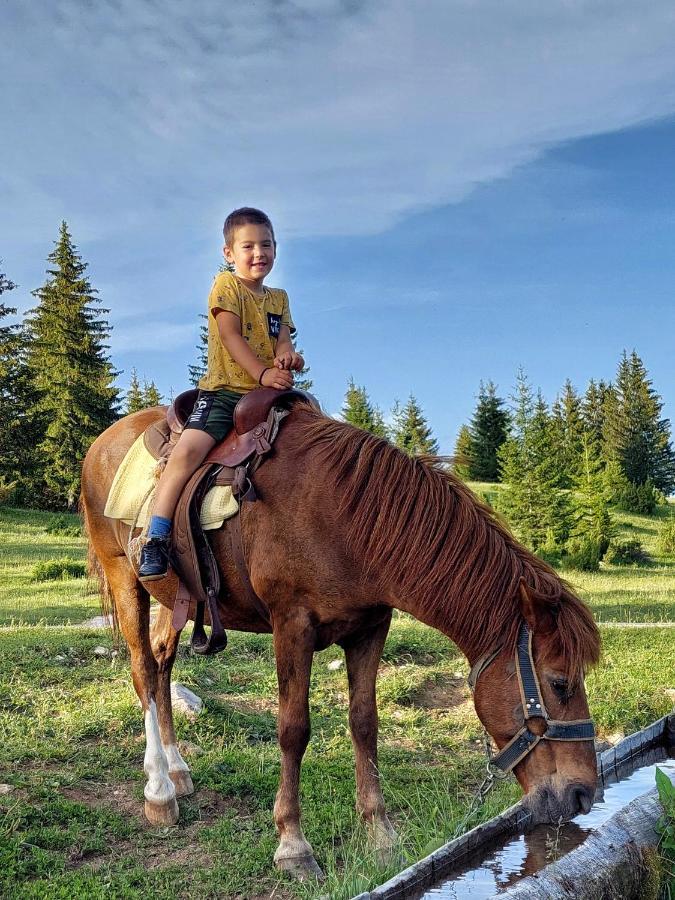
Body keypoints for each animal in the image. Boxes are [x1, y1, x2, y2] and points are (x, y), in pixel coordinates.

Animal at [80, 400, 604, 880]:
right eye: (560, 683)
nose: (584, 795)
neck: (346, 518)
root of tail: (102, 444)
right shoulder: (292, 625)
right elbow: (293, 730)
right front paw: (293, 845)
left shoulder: (371, 628)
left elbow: (365, 723)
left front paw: (380, 834)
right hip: (125, 578)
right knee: (143, 670)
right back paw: (159, 789)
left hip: (178, 600)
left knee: (162, 663)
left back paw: (176, 768)